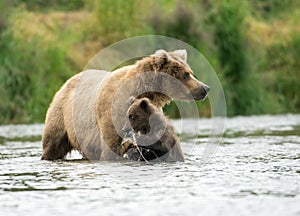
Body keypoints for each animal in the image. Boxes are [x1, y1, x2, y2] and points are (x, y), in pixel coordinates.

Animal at [41, 49, 211, 160]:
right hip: (62, 116)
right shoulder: (110, 112)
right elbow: (111, 146)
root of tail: (67, 81)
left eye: (191, 72)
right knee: (53, 143)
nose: (205, 88)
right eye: (186, 74)